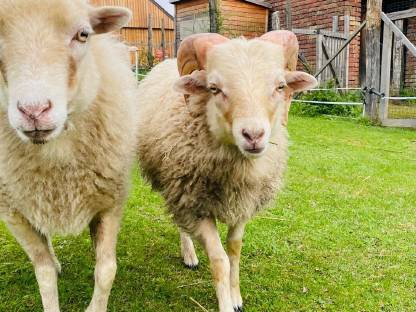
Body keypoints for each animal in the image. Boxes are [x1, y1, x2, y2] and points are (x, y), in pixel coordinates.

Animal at [0, 1, 139, 310]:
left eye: (83, 34)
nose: (34, 110)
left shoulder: (110, 202)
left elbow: (106, 269)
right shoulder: (13, 213)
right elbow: (44, 274)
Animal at [137, 31, 318, 312]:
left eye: (280, 86)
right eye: (214, 88)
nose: (253, 135)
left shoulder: (244, 201)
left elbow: (234, 250)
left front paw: (236, 297)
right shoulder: (195, 205)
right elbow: (219, 259)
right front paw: (225, 303)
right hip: (176, 189)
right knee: (181, 223)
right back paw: (189, 255)